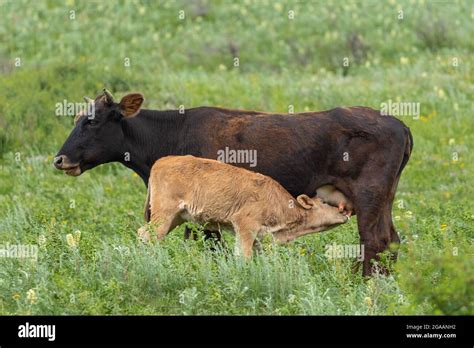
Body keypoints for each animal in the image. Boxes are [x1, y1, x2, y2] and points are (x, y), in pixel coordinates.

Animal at [138, 156, 348, 256]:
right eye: (325, 202)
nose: (345, 211)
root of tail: (162, 160)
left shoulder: (257, 236)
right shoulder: (245, 226)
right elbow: (243, 255)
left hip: (177, 217)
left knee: (143, 233)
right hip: (164, 215)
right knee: (150, 235)